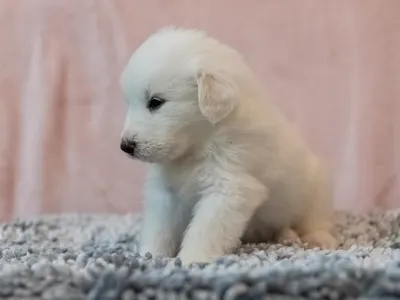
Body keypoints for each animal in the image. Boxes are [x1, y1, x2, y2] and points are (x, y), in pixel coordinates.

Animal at [119, 26, 338, 264]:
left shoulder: (229, 189)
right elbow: (159, 228)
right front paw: (149, 256)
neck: (198, 146)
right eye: (130, 103)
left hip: (315, 191)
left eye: (155, 102)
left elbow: (205, 231)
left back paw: (316, 239)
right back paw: (287, 236)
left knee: (314, 221)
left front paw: (192, 259)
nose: (125, 146)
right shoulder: (165, 193)